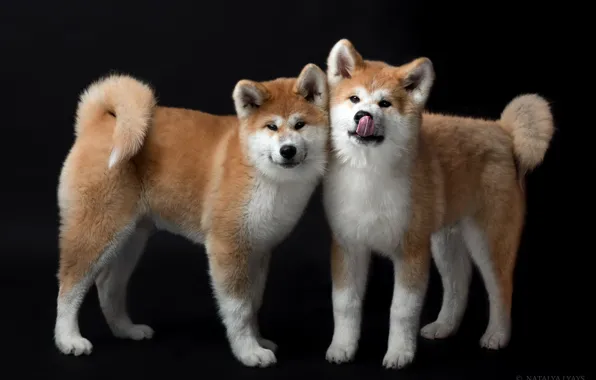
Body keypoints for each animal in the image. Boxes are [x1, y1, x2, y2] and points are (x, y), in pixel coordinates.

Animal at [55, 63, 330, 368]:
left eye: (300, 124)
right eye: (271, 126)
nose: (287, 150)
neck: (262, 172)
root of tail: (97, 124)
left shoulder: (259, 251)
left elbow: (253, 304)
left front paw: (258, 340)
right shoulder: (227, 247)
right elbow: (239, 309)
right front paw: (248, 351)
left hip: (130, 239)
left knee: (107, 284)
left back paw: (126, 329)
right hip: (97, 230)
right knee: (70, 285)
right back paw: (68, 339)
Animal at [322, 39, 556, 368]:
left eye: (385, 104)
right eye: (354, 99)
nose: (362, 116)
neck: (370, 172)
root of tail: (503, 131)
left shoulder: (411, 250)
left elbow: (402, 310)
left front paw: (399, 353)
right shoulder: (348, 246)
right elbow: (345, 304)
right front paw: (342, 347)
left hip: (488, 240)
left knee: (501, 290)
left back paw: (497, 335)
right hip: (446, 241)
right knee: (458, 286)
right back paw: (444, 326)